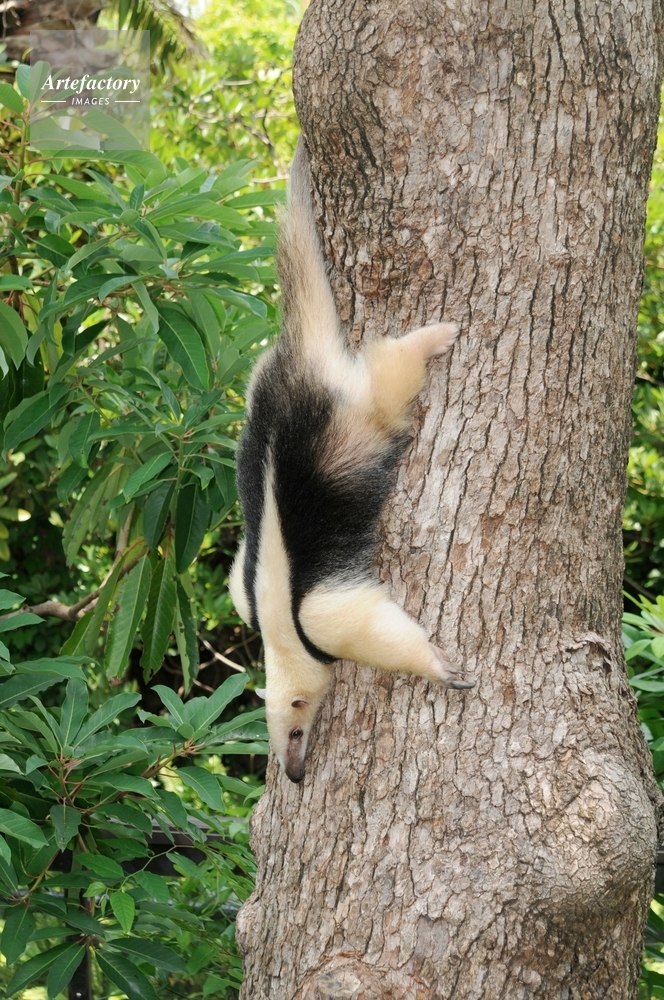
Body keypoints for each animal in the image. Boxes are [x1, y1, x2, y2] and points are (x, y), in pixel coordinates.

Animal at [228, 137, 474, 783]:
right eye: (278, 741)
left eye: (296, 724)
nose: (294, 773)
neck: (278, 633)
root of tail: (300, 361)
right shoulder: (244, 592)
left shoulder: (320, 614)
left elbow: (368, 626)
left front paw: (445, 668)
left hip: (349, 410)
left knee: (389, 378)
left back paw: (439, 335)